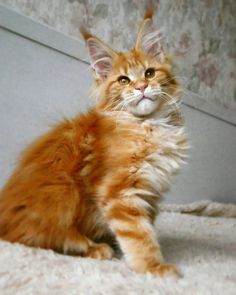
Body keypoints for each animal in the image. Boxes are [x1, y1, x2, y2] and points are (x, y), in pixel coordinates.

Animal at [0, 9, 188, 278]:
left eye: (149, 73)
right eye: (123, 80)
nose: (141, 86)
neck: (147, 125)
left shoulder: (151, 193)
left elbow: (147, 228)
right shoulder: (120, 190)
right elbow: (139, 235)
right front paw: (153, 267)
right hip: (62, 194)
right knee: (44, 239)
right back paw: (95, 248)